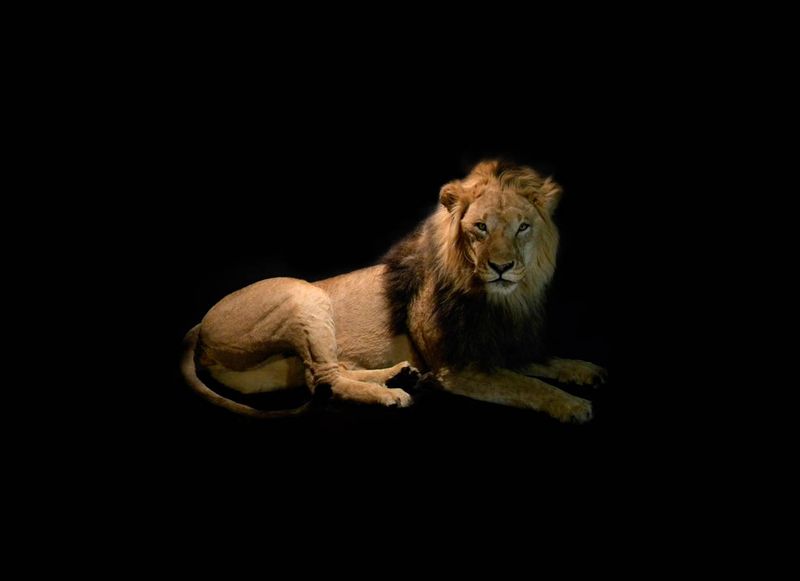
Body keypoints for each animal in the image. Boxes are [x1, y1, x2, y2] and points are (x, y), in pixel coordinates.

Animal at [181, 160, 607, 423]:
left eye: (523, 227)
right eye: (480, 227)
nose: (501, 267)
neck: (497, 302)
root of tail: (199, 324)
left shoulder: (503, 348)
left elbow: (545, 362)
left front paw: (584, 370)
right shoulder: (456, 369)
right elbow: (527, 384)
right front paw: (572, 404)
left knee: (323, 374)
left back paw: (401, 374)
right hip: (305, 295)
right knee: (324, 379)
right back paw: (393, 395)